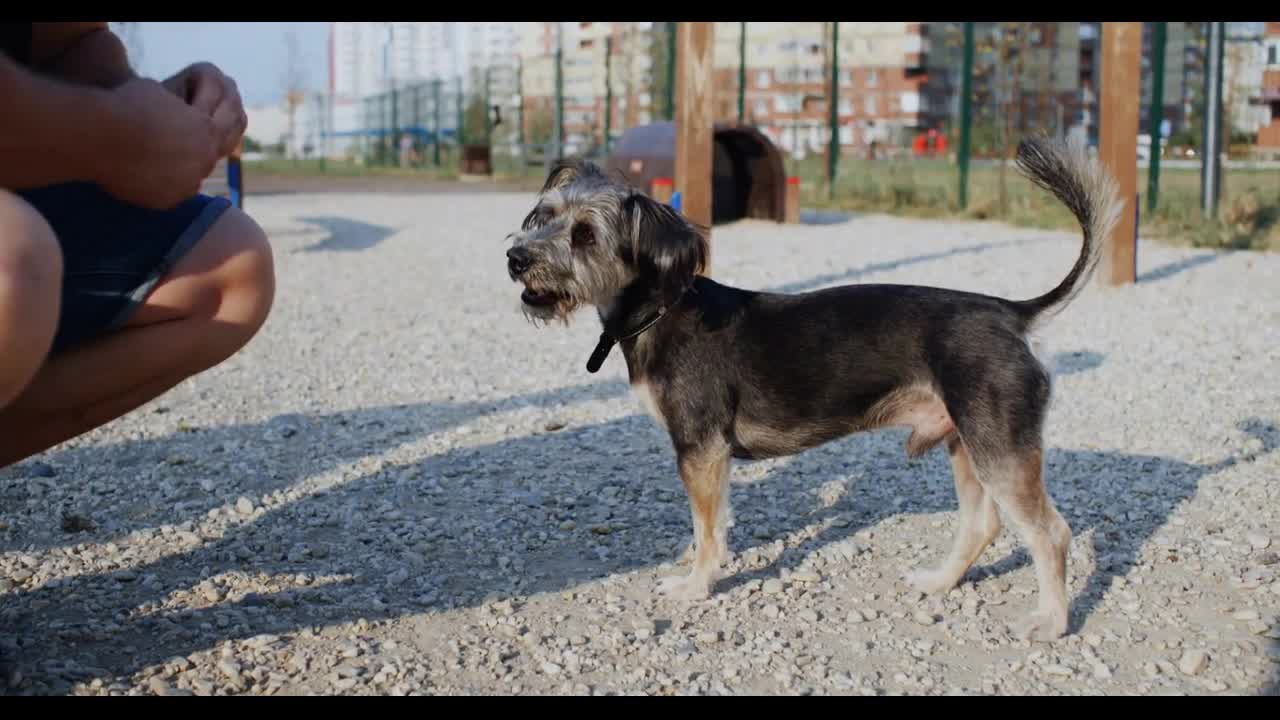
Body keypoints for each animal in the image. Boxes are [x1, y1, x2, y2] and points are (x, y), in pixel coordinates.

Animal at [501, 135, 1121, 638]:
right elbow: (705, 527)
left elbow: (709, 531)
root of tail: (1011, 313)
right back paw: (942, 582)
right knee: (982, 524)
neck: (662, 308)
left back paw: (1052, 621)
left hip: (998, 449)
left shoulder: (702, 450)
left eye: (585, 235)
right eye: (544, 216)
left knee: (1051, 535)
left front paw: (696, 585)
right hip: (966, 442)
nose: (515, 258)